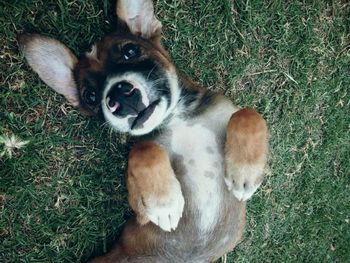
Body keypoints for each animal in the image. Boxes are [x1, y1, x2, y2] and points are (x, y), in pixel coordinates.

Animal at [18, 1, 268, 262]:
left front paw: (245, 172)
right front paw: (165, 203)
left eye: (130, 51)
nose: (118, 97)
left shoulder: (228, 111)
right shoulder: (141, 211)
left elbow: (250, 114)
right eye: (90, 95)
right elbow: (144, 149)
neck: (177, 119)